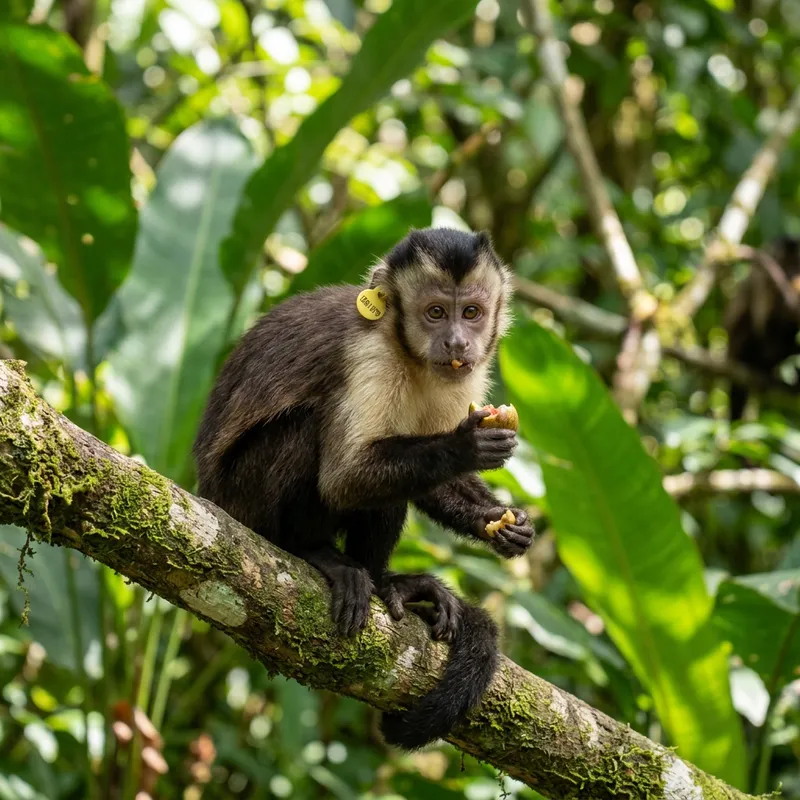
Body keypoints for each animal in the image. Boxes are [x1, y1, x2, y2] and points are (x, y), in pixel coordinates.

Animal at [192, 227, 535, 750]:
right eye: (436, 312)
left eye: (472, 313)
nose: (457, 340)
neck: (407, 351)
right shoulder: (366, 355)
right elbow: (343, 477)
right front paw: (467, 445)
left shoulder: (467, 372)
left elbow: (430, 483)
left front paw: (499, 523)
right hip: (237, 500)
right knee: (306, 431)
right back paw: (311, 551)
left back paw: (390, 583)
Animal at [724, 236, 800, 420]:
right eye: (788, 268)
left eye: (797, 267)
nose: (793, 276)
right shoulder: (762, 277)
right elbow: (764, 323)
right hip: (738, 347)